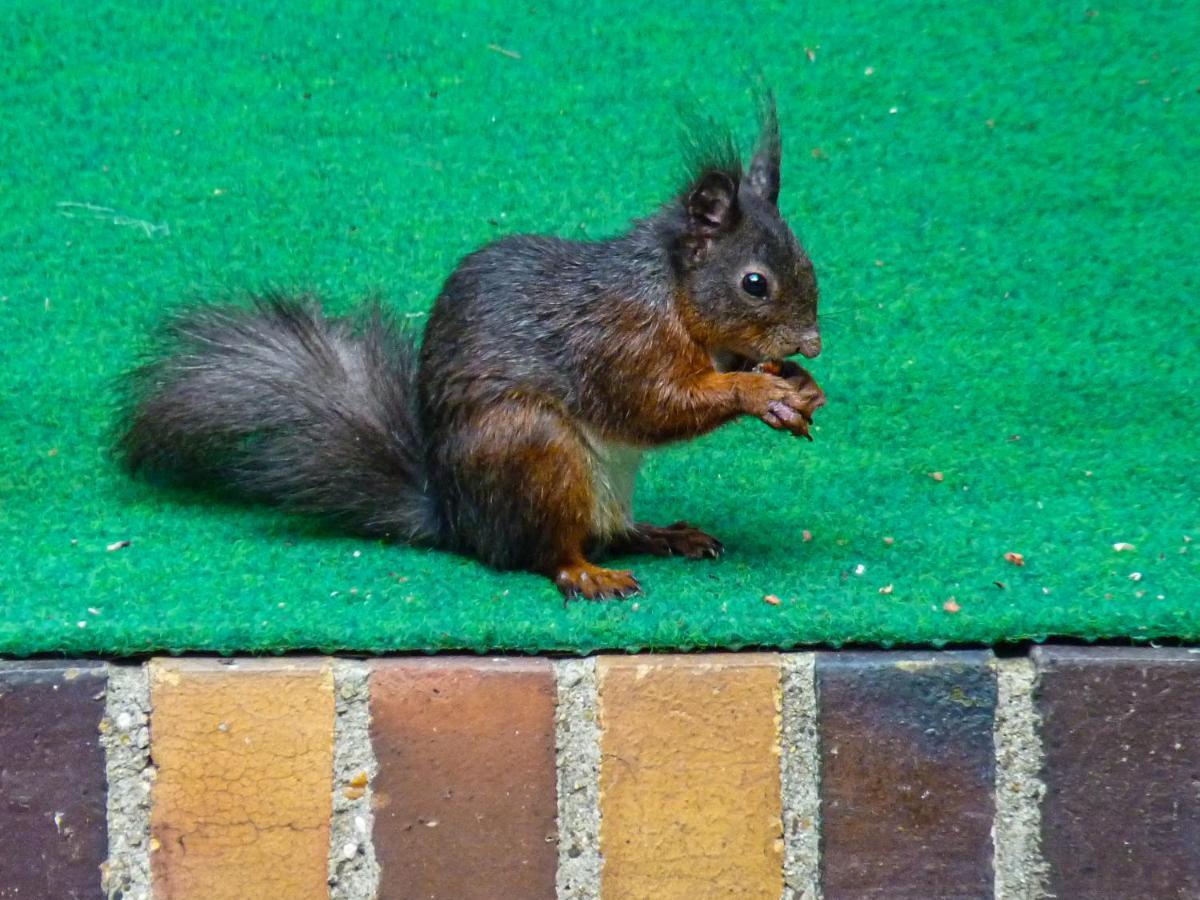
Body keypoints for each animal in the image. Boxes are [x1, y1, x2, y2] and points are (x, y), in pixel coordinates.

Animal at [117, 97, 825, 600]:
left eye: (806, 260)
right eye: (754, 283)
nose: (814, 343)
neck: (669, 292)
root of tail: (457, 520)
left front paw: (796, 385)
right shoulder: (618, 340)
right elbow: (655, 404)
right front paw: (759, 390)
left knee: (610, 532)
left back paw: (664, 534)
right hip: (533, 448)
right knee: (545, 550)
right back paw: (586, 573)